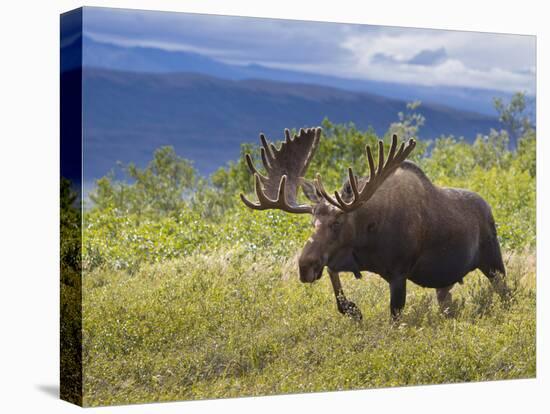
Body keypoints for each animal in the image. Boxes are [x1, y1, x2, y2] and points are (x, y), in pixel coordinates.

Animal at [239, 126, 506, 320]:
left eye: (337, 222)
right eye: (312, 222)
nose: (305, 267)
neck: (368, 237)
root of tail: (489, 208)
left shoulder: (399, 272)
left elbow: (395, 316)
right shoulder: (346, 258)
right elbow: (334, 280)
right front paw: (352, 310)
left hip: (493, 262)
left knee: (506, 293)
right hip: (446, 281)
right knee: (446, 300)